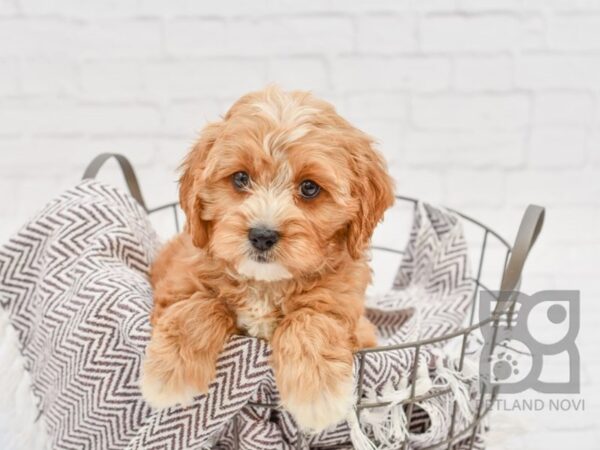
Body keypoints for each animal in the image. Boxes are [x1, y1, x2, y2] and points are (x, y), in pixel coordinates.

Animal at [139, 85, 394, 432]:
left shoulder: (349, 314)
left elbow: (310, 319)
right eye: (240, 178)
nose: (262, 235)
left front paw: (318, 394)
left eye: (310, 187)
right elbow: (200, 305)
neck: (265, 285)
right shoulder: (176, 284)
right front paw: (168, 373)